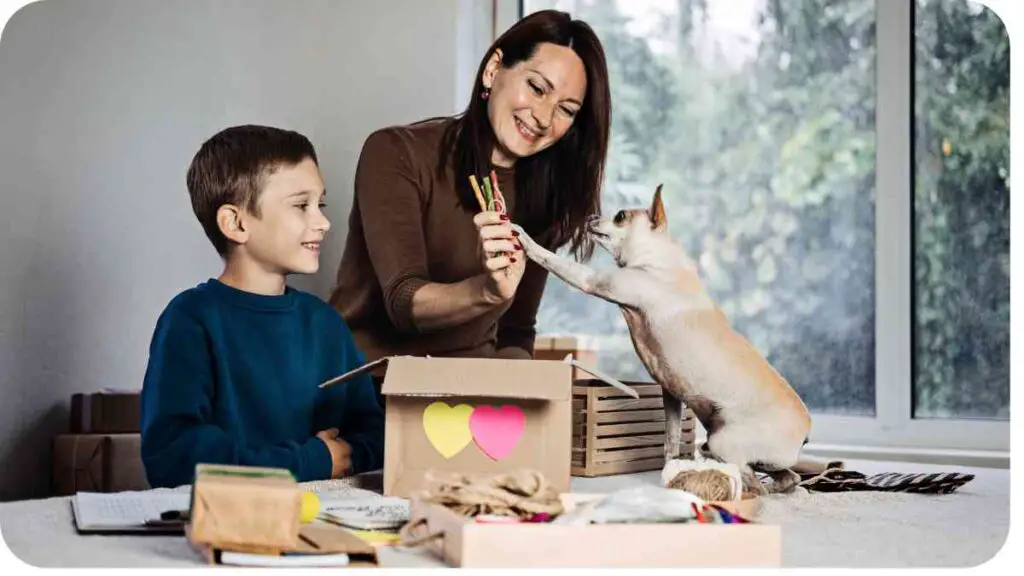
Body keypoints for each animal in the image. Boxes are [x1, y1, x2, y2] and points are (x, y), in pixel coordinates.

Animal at [516, 186, 811, 491]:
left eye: (620, 216)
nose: (591, 217)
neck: (657, 257)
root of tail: (805, 431)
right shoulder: (671, 396)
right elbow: (671, 439)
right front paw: (670, 473)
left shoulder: (594, 281)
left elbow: (552, 259)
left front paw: (524, 237)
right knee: (788, 477)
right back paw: (778, 485)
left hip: (721, 442)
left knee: (751, 480)